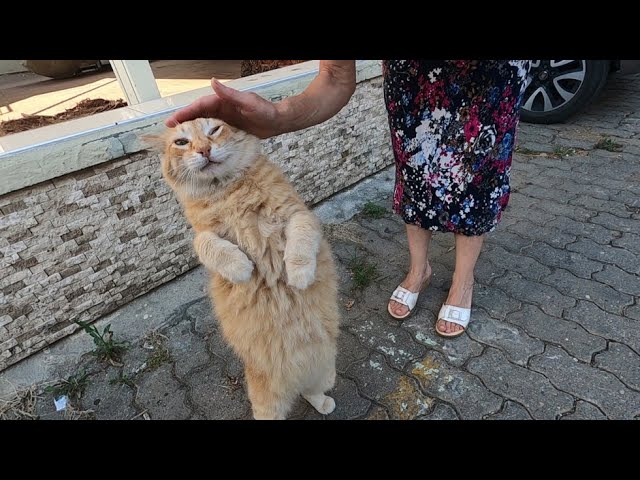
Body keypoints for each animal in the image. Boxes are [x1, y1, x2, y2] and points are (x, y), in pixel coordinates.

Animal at [146, 117, 342, 420]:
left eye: (213, 130)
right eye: (181, 142)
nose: (204, 150)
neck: (228, 192)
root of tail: (294, 377)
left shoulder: (298, 214)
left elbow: (300, 241)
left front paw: (299, 276)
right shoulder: (204, 234)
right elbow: (204, 243)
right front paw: (241, 267)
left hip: (325, 371)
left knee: (312, 392)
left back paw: (324, 404)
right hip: (268, 402)